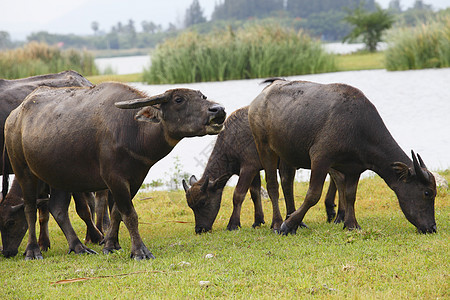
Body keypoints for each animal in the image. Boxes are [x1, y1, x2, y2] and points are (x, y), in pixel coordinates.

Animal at [4, 82, 225, 260]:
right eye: (179, 99)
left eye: (202, 96)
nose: (218, 109)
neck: (133, 130)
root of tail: (14, 118)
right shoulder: (114, 178)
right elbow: (130, 213)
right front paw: (139, 251)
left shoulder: (135, 178)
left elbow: (117, 211)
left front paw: (110, 245)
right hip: (23, 170)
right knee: (30, 208)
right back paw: (33, 251)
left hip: (59, 176)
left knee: (57, 209)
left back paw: (79, 247)